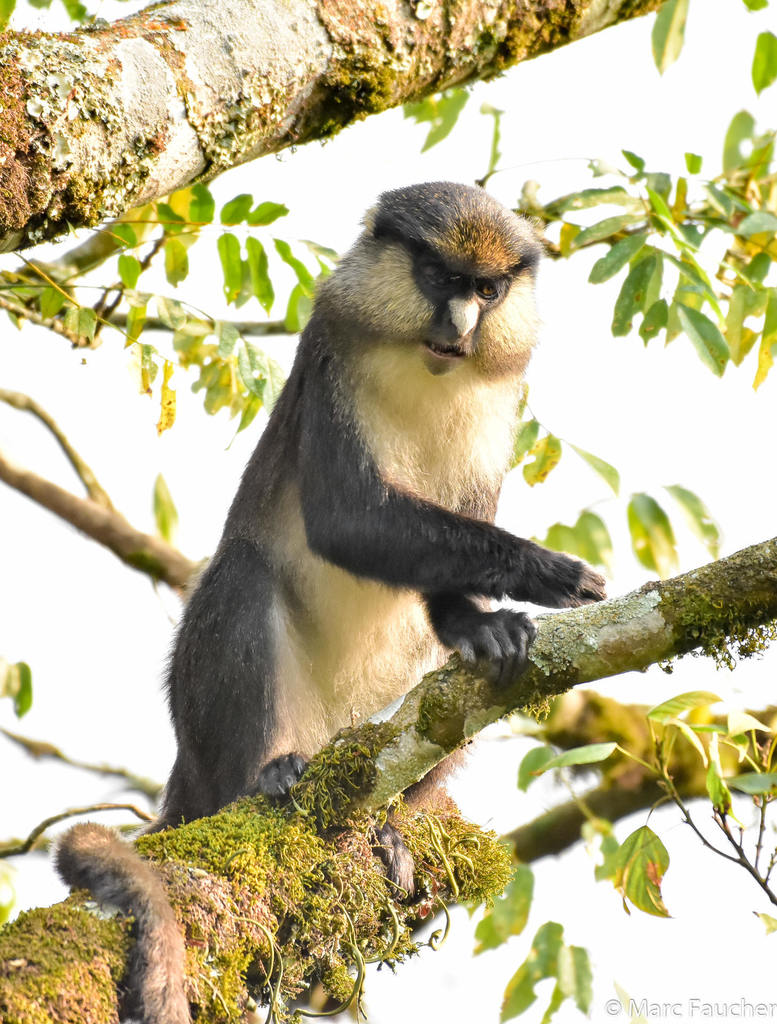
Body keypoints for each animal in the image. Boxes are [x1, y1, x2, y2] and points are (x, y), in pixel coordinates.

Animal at [56, 182, 606, 1024]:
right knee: (242, 578)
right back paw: (269, 776)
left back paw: (392, 823)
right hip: (221, 735)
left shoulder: (502, 399)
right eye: (438, 278)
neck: (426, 367)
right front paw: (540, 570)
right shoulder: (331, 360)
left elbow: (457, 576)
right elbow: (347, 519)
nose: (460, 327)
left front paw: (477, 624)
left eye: (487, 290)